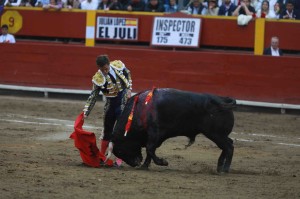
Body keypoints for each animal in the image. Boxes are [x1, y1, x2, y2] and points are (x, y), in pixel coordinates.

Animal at [108, 88, 237, 173]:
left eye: (120, 150)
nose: (135, 163)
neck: (139, 110)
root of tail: (223, 100)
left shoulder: (155, 133)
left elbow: (150, 149)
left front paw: (163, 162)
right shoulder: (153, 137)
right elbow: (150, 151)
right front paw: (145, 165)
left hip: (216, 134)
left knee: (229, 147)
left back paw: (225, 169)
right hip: (219, 135)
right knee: (228, 145)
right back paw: (219, 167)